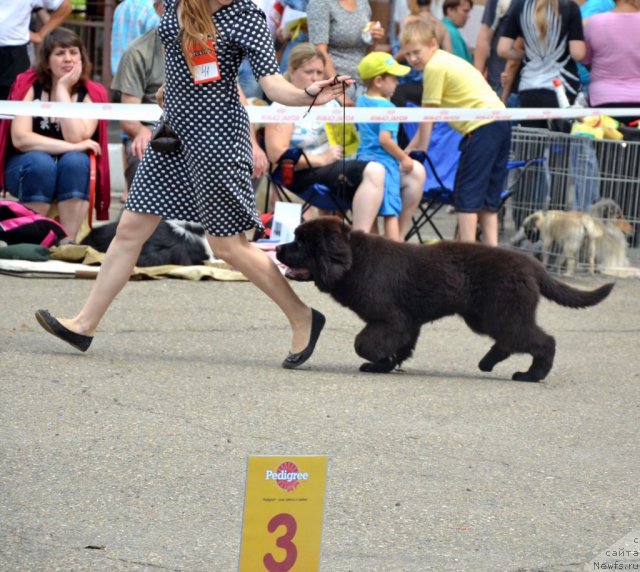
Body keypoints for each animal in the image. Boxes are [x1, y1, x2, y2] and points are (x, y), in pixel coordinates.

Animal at [276, 217, 616, 382]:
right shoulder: (407, 322)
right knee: (511, 341)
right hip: (487, 316)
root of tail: (532, 264)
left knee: (542, 341)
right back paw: (488, 363)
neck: (356, 261)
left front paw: (377, 361)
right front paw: (384, 365)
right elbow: (399, 347)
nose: (277, 248)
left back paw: (531, 376)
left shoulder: (390, 318)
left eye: (301, 242)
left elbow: (365, 343)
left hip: (503, 312)